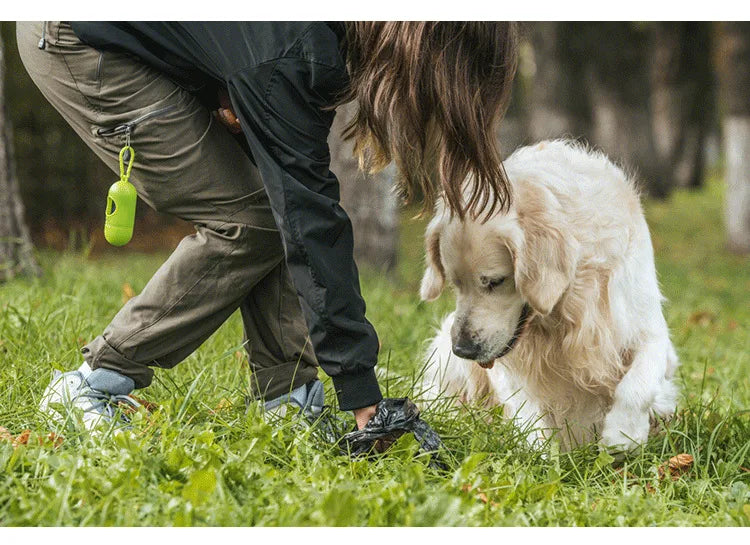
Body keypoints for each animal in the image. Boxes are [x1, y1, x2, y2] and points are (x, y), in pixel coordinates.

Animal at [424, 140, 680, 450]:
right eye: (454, 284)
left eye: (495, 282)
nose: (463, 350)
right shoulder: (507, 364)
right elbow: (527, 412)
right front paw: (539, 454)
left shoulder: (647, 328)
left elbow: (638, 384)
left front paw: (622, 434)